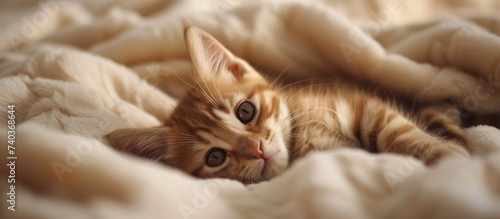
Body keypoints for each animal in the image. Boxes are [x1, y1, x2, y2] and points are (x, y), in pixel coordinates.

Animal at [107, 25, 470, 183]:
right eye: (214, 157)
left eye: (245, 111)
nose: (255, 149)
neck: (302, 140)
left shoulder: (362, 105)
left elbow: (397, 132)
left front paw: (445, 155)